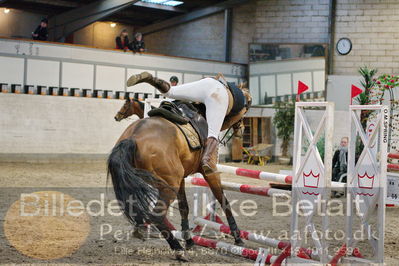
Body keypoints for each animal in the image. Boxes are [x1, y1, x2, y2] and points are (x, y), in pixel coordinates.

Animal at [108, 89, 253, 260]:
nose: (242, 128)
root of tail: (133, 137)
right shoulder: (210, 171)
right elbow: (224, 201)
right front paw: (238, 238)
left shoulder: (182, 180)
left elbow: (184, 208)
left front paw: (189, 240)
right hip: (169, 185)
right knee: (157, 214)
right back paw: (178, 250)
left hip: (158, 182)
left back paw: (143, 230)